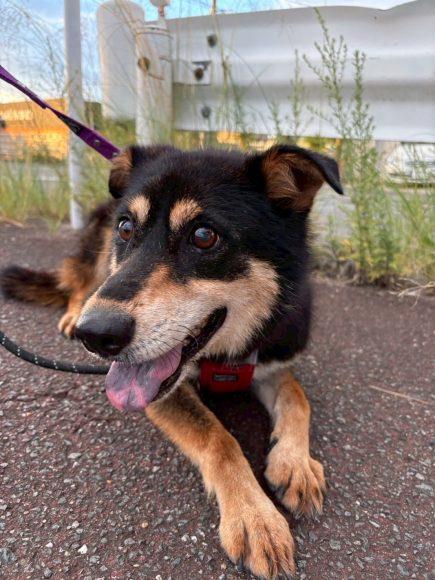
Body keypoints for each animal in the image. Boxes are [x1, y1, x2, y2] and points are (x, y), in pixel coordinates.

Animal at [1, 143, 342, 579]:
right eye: (126, 228)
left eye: (204, 236)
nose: (96, 335)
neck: (224, 356)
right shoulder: (162, 394)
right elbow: (218, 437)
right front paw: (255, 517)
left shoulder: (269, 361)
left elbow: (298, 399)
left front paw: (295, 463)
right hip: (97, 245)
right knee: (79, 280)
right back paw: (74, 310)